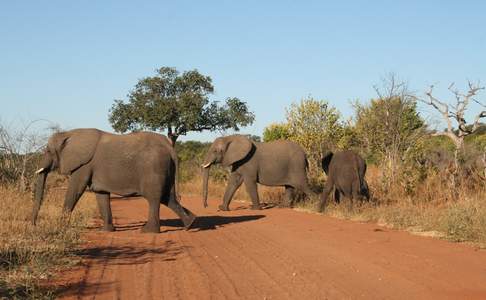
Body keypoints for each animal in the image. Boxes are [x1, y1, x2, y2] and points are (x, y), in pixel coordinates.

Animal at [31, 127, 196, 233]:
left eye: (48, 151)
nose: (34, 226)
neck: (69, 134)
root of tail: (170, 147)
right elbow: (101, 194)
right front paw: (106, 231)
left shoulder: (84, 165)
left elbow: (75, 189)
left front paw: (60, 228)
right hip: (166, 168)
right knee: (169, 198)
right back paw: (190, 223)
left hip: (153, 167)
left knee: (154, 198)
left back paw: (147, 231)